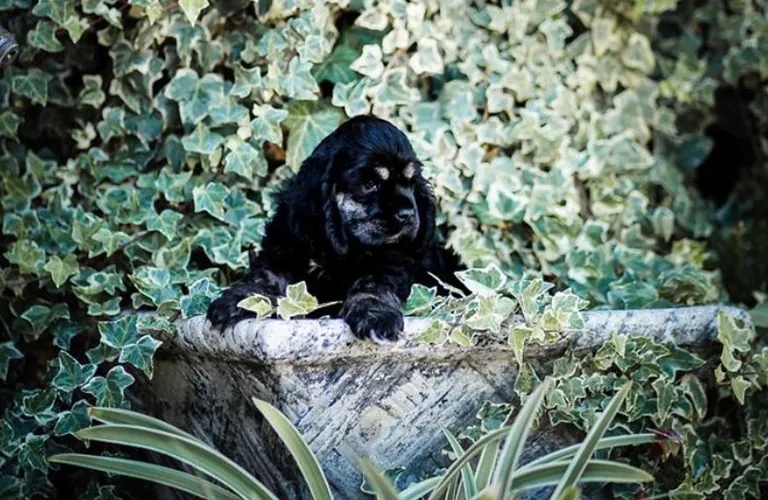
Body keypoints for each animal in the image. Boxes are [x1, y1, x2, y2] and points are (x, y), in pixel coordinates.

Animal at [204, 115, 464, 342]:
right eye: (370, 184)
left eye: (410, 183)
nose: (408, 214)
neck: (334, 248)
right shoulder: (283, 249)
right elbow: (266, 276)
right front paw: (239, 299)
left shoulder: (391, 260)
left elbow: (373, 283)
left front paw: (375, 315)